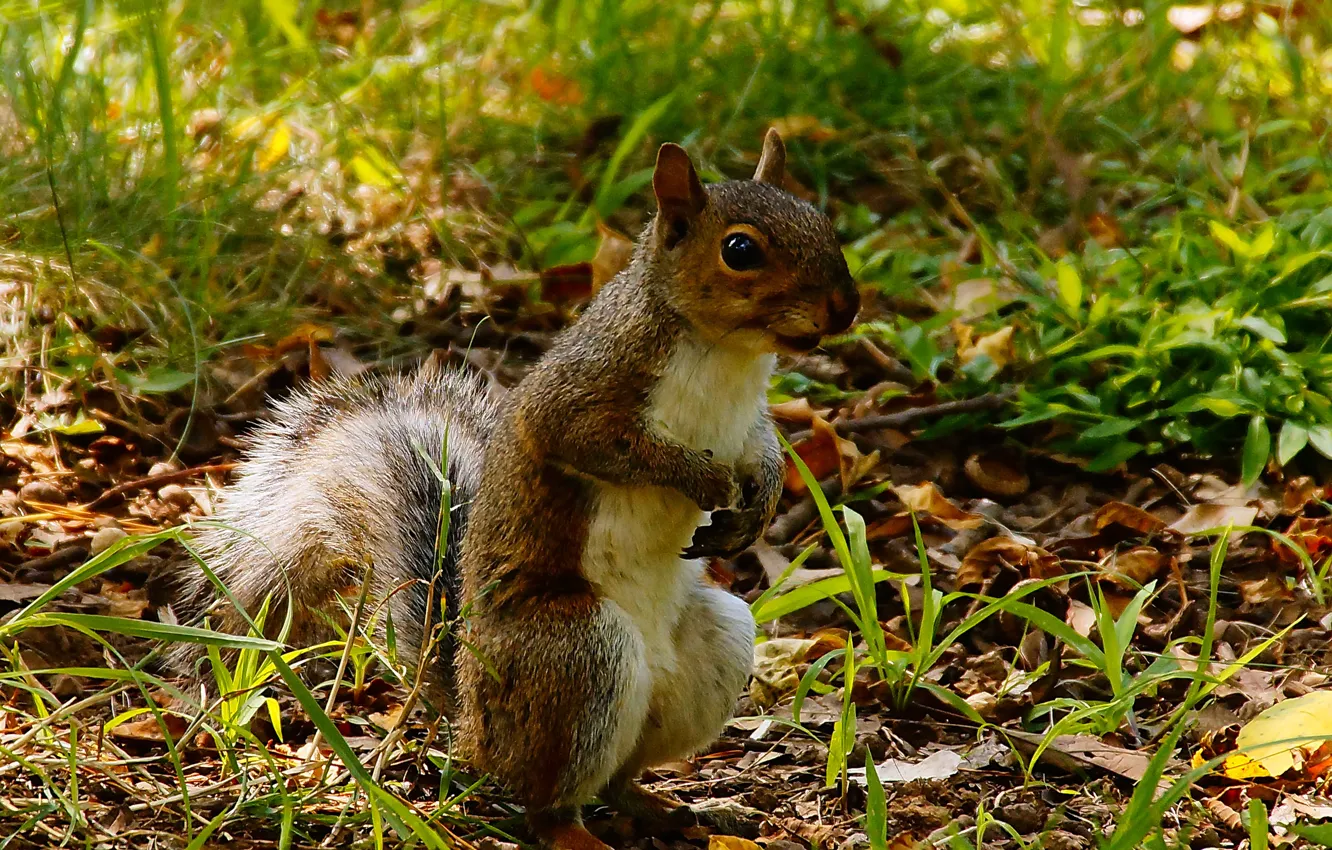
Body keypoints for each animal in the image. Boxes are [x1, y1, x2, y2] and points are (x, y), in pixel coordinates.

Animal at [169, 127, 852, 850]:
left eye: (820, 220)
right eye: (740, 250)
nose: (847, 306)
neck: (728, 354)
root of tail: (470, 726)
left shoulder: (747, 417)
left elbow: (764, 446)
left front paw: (759, 501)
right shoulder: (583, 392)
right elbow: (594, 442)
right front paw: (702, 476)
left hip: (713, 642)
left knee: (616, 778)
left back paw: (676, 810)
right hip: (577, 651)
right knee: (543, 800)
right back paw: (577, 832)